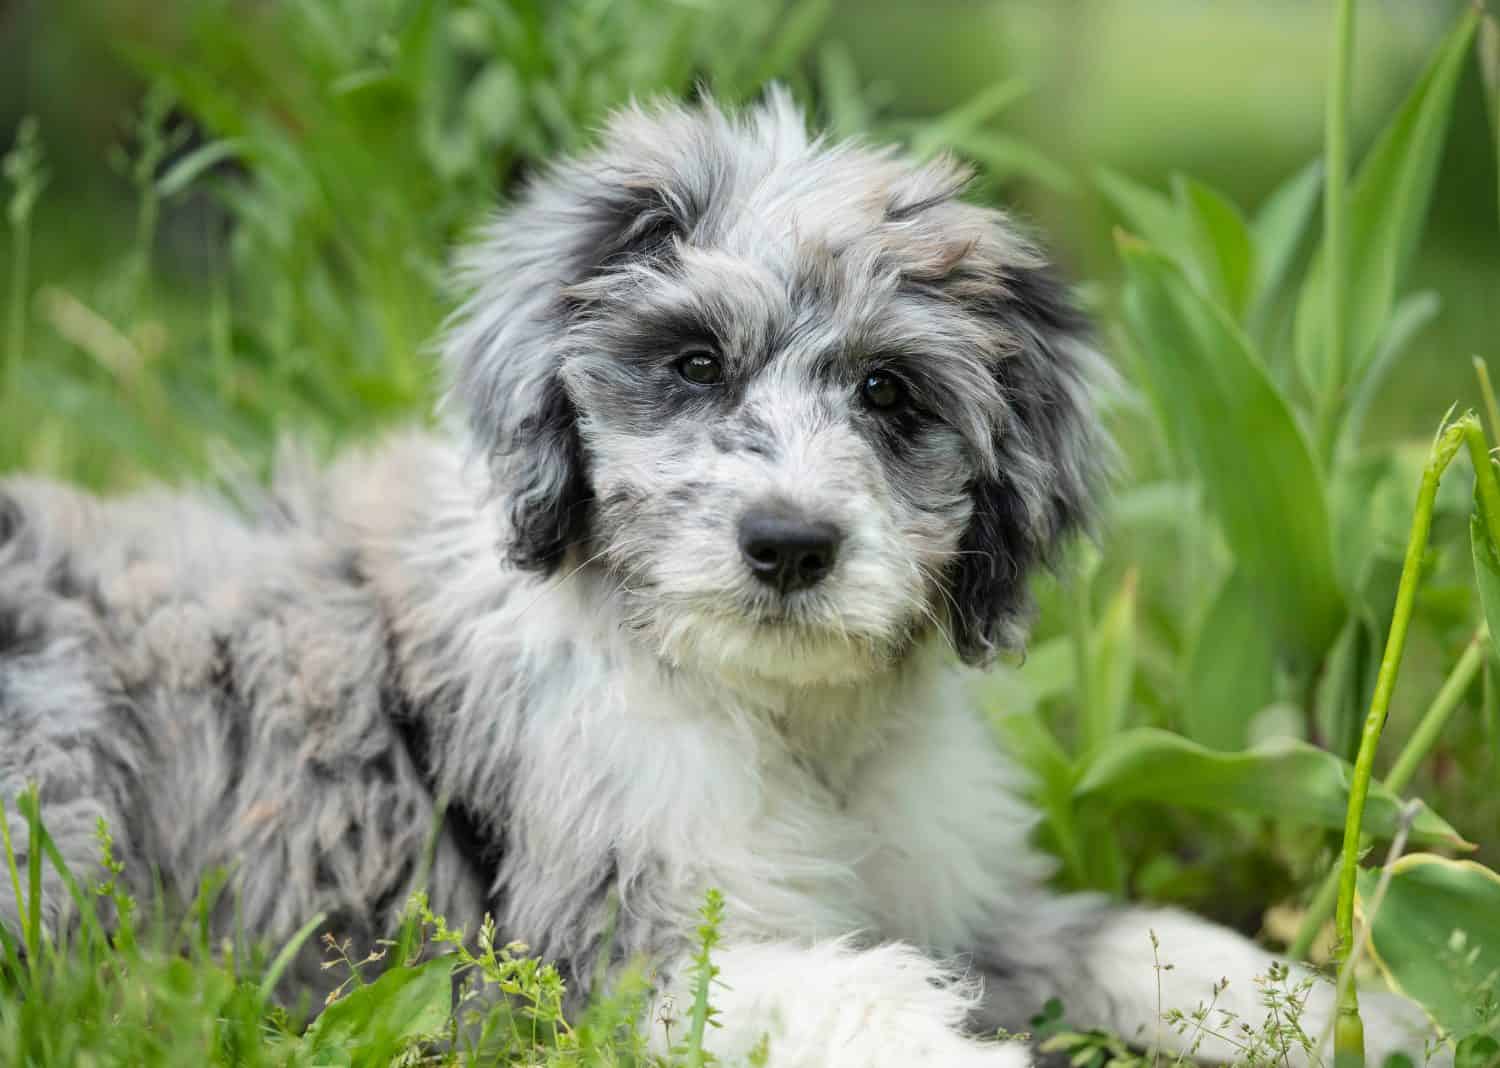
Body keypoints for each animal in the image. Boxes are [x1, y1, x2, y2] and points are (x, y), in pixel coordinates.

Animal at [0, 96, 1428, 1062]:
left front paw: (1356, 1009)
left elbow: (1128, 937)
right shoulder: (592, 963)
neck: (785, 722)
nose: (789, 545)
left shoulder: (957, 894)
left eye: (889, 390)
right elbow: (865, 1003)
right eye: (692, 364)